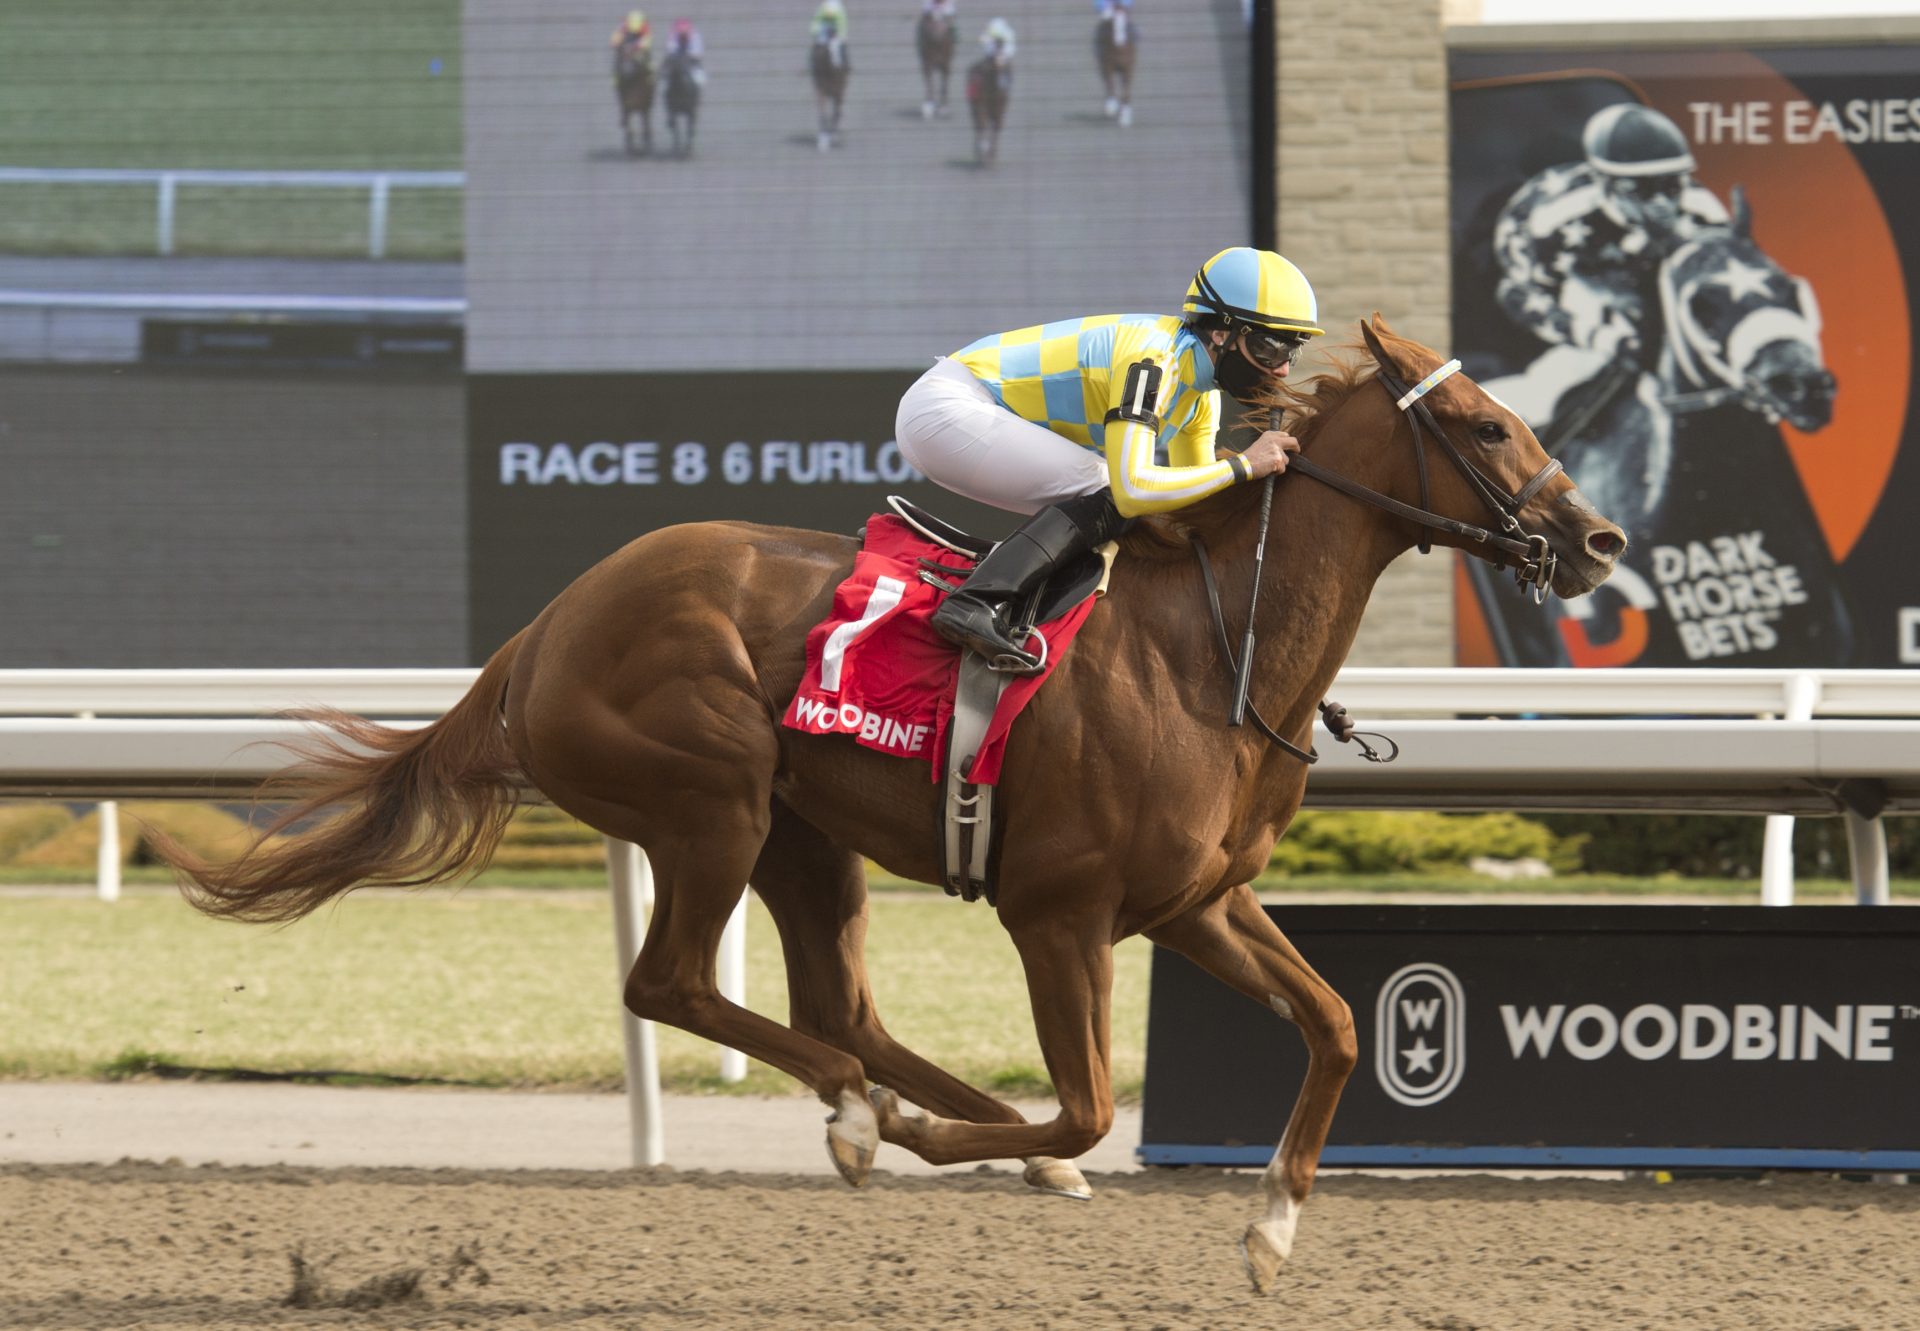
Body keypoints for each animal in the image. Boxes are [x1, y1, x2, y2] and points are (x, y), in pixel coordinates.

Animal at [172, 316, 1628, 1290]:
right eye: (1488, 424)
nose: (1599, 540)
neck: (1208, 649)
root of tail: (539, 632)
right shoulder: (1059, 911)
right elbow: (1093, 1099)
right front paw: (962, 1136)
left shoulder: (1199, 902)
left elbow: (1333, 1025)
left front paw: (1270, 1229)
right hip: (713, 801)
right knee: (677, 984)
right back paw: (872, 1115)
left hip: (807, 839)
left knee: (845, 1009)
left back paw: (918, 1116)